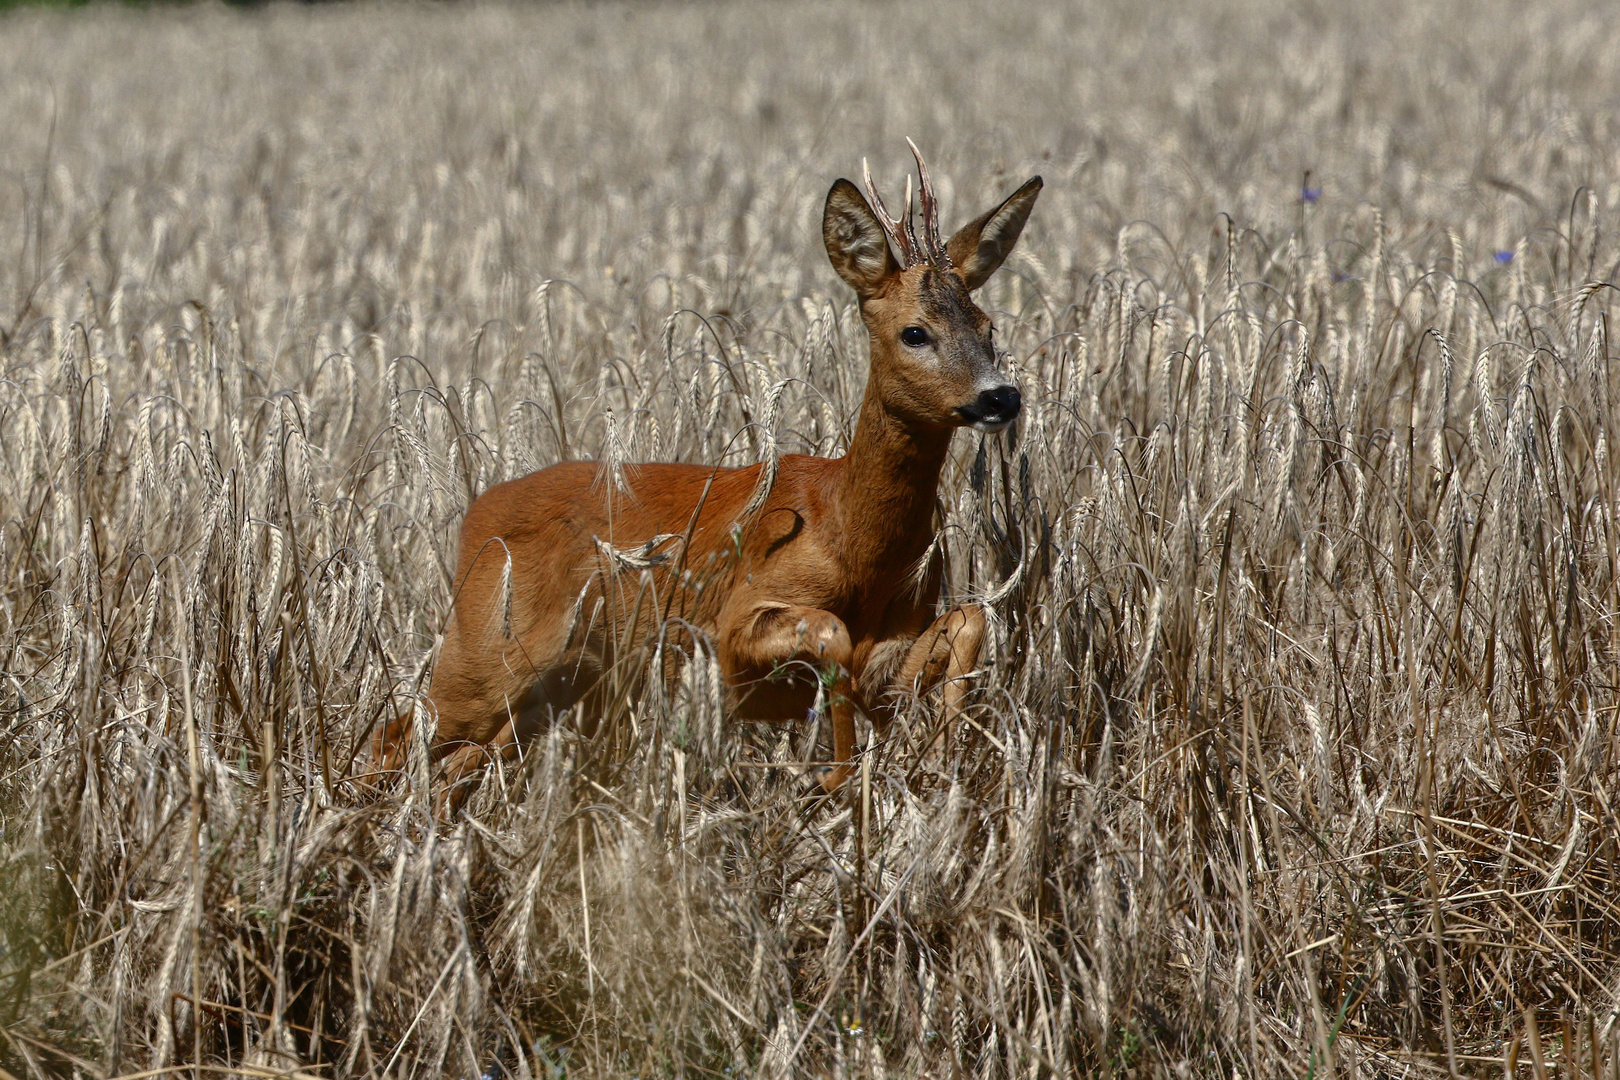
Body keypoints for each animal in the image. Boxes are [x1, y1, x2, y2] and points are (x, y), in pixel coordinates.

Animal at [379, 141, 1036, 809]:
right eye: (915, 332)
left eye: (988, 327)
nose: (1000, 397)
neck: (854, 542)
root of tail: (474, 519)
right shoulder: (730, 628)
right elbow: (830, 633)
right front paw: (831, 773)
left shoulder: (894, 647)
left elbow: (968, 623)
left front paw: (945, 761)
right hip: (484, 658)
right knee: (397, 734)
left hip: (557, 693)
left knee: (461, 760)